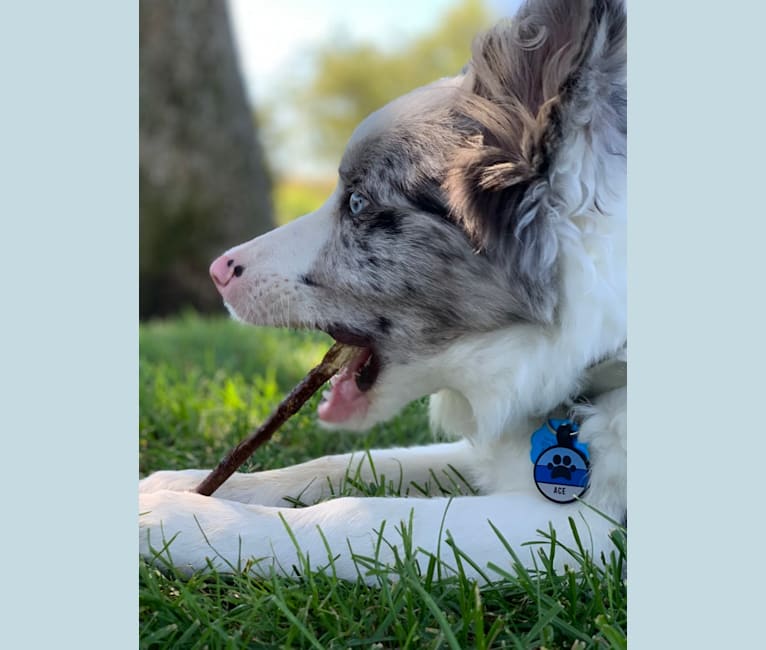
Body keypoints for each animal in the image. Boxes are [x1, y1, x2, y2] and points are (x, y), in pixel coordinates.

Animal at [140, 0, 632, 584]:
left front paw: (171, 518)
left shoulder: (583, 533)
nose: (217, 270)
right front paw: (182, 483)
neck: (595, 360)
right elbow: (353, 461)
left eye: (357, 204)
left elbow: (357, 512)